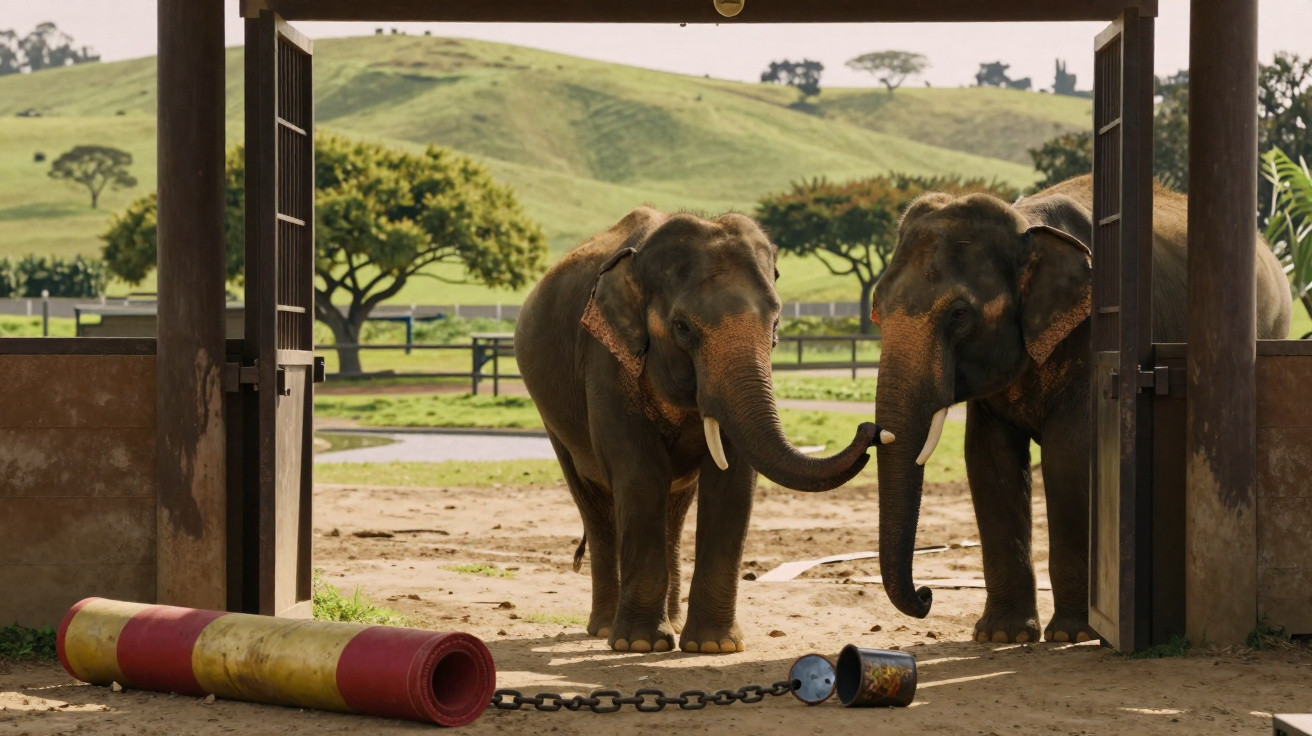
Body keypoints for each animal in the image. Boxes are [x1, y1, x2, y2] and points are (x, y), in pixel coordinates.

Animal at [515, 207, 887, 654]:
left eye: (776, 324)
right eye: (682, 328)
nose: (871, 428)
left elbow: (733, 480)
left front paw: (714, 646)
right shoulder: (605, 359)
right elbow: (639, 473)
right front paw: (640, 645)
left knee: (673, 511)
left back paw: (671, 624)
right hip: (552, 417)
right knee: (595, 502)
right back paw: (606, 629)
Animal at [870, 174, 1291, 644]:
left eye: (959, 313)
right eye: (876, 310)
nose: (927, 595)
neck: (1026, 225)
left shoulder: (1089, 335)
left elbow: (1068, 457)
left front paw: (1072, 634)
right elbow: (988, 460)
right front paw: (1002, 637)